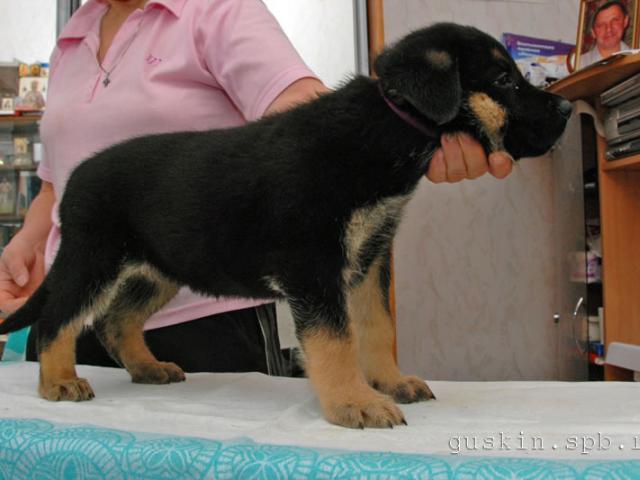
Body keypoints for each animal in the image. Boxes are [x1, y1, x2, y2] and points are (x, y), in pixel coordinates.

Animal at [1, 22, 568, 428]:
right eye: (503, 80)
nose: (565, 104)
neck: (385, 129)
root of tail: (70, 180)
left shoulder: (367, 260)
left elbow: (377, 328)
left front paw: (389, 382)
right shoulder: (313, 266)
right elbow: (337, 341)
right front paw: (354, 404)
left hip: (156, 270)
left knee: (117, 322)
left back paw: (148, 368)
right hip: (93, 259)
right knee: (57, 319)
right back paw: (59, 382)